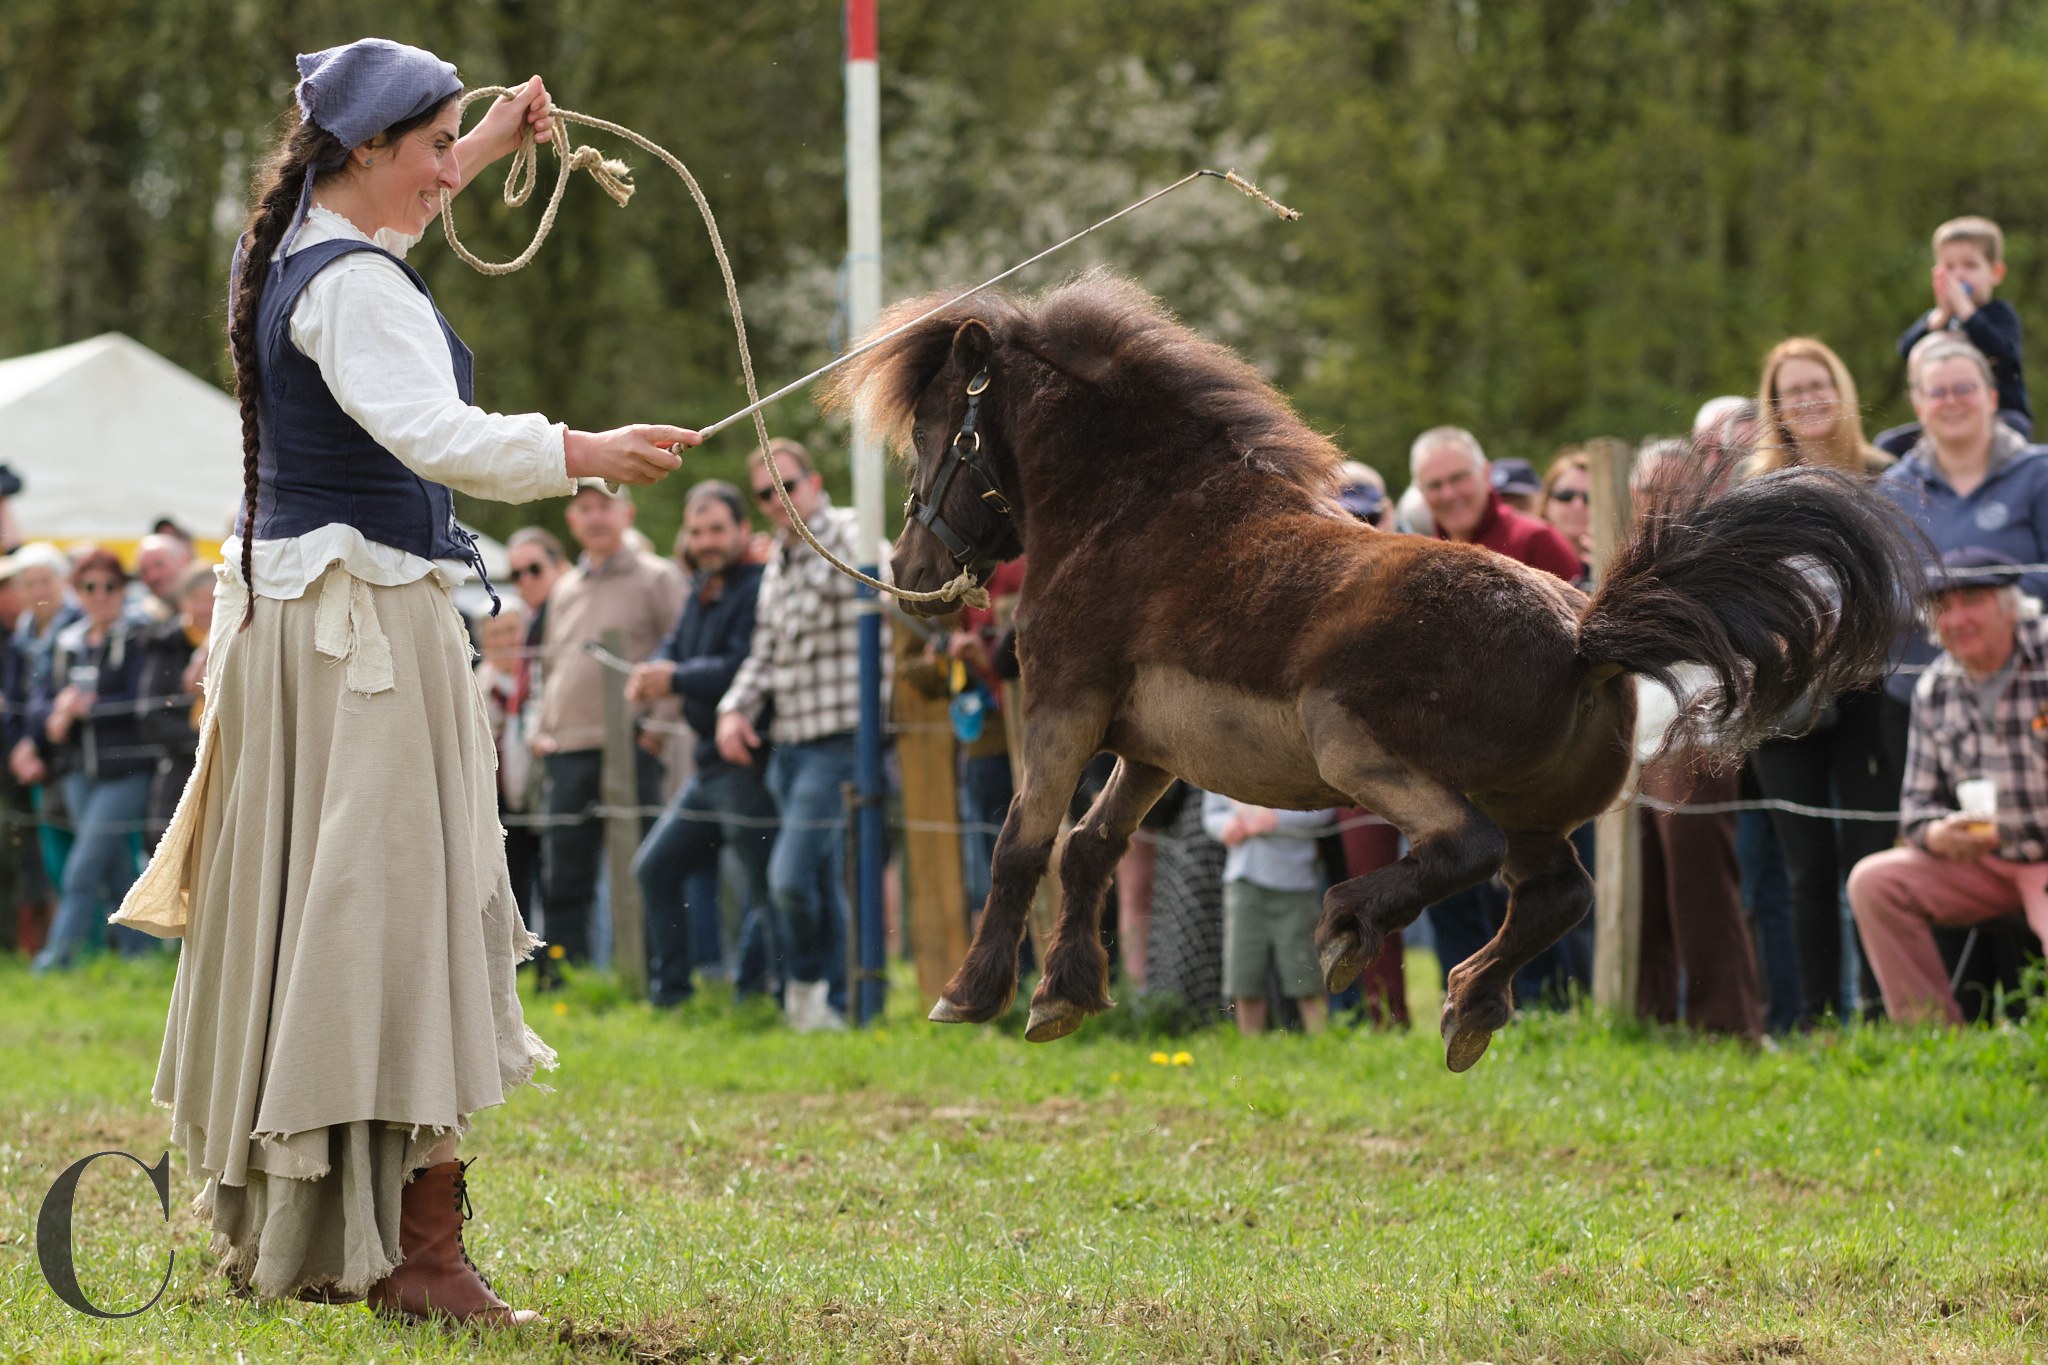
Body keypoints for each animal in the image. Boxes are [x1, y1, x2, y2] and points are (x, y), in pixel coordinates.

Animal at [819, 272, 1916, 1072]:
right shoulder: (1151, 747)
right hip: (1531, 812)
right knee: (1553, 895)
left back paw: (1351, 925)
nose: (911, 574)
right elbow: (1089, 846)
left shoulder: (1061, 706)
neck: (1136, 510)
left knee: (1463, 850)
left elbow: (1022, 843)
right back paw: (1468, 1005)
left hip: (1354, 748)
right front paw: (1064, 993)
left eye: (937, 437)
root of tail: (1583, 635)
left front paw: (973, 991)